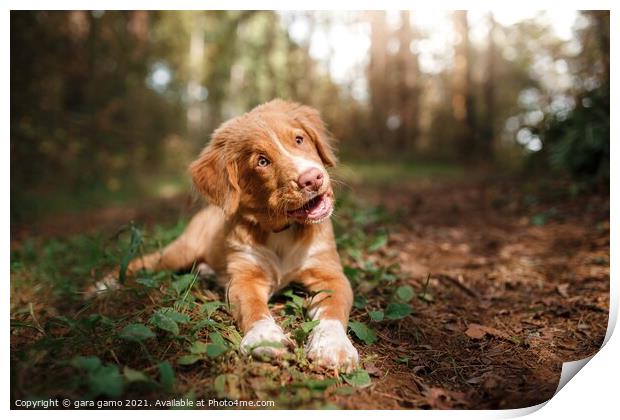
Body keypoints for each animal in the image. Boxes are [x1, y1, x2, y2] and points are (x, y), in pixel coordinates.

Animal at [115, 99, 358, 370]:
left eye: (299, 139)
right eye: (262, 162)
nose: (312, 179)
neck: (283, 232)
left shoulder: (330, 275)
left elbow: (332, 311)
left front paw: (334, 345)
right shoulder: (244, 278)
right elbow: (254, 308)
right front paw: (264, 338)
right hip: (180, 252)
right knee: (142, 263)